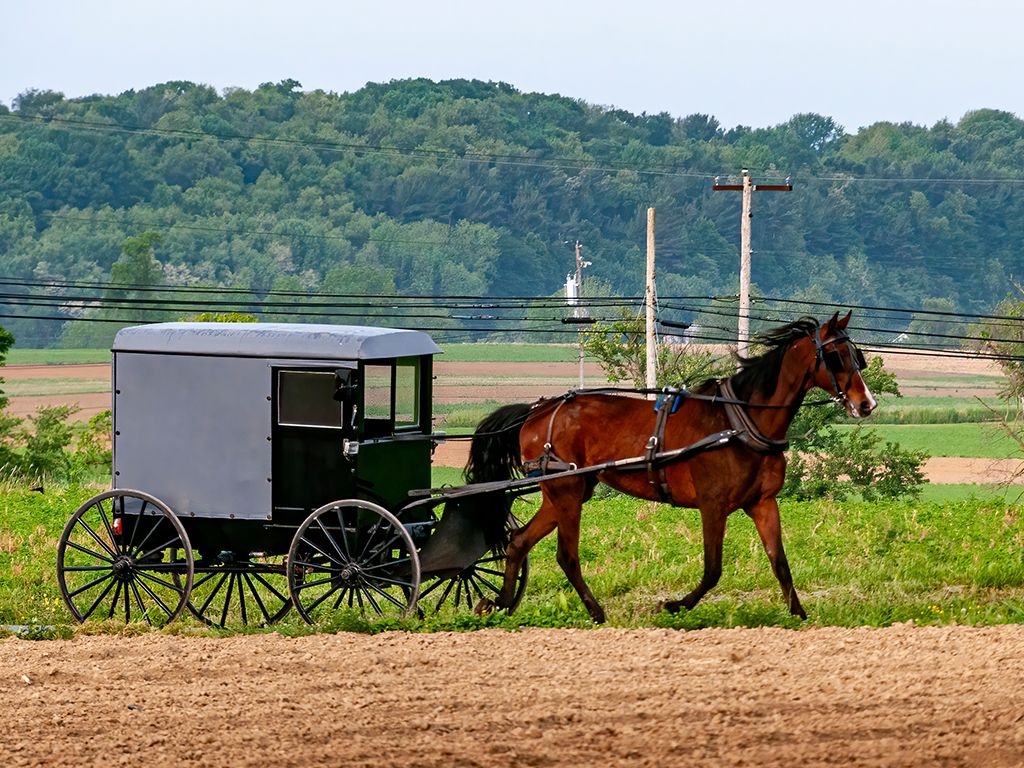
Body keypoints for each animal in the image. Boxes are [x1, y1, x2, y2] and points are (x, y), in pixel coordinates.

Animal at [465, 312, 876, 623]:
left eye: (857, 355)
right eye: (836, 355)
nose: (866, 403)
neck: (741, 421)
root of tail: (538, 411)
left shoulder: (763, 503)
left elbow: (780, 563)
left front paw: (800, 615)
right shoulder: (713, 505)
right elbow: (713, 569)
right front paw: (674, 604)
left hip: (567, 491)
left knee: (519, 541)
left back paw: (500, 603)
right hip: (566, 491)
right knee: (566, 556)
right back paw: (595, 612)